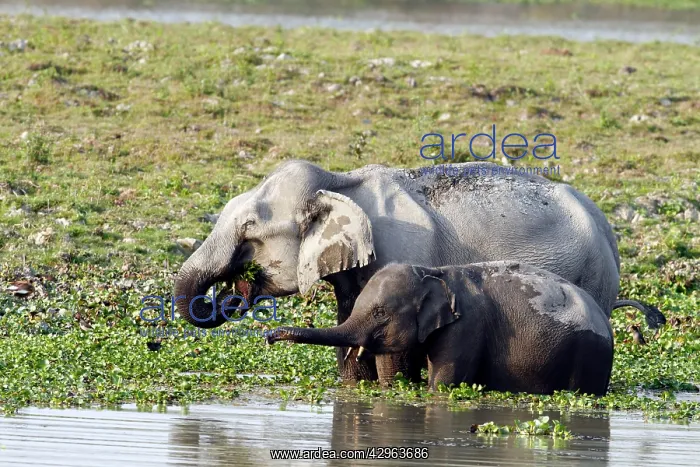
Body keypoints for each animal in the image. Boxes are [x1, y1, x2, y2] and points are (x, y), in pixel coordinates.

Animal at [267, 261, 615, 396]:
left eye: (380, 312)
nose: (269, 336)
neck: (435, 272)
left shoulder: (467, 326)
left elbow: (444, 385)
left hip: (589, 356)